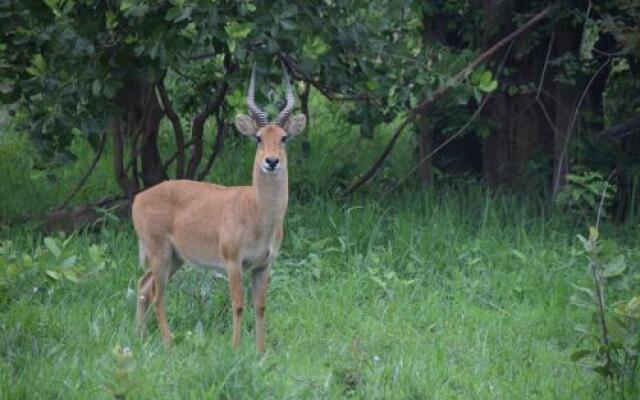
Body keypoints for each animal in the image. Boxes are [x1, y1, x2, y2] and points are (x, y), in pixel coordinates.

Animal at [131, 64, 306, 352]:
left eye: (284, 138)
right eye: (258, 137)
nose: (271, 161)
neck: (256, 211)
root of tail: (138, 198)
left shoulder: (263, 265)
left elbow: (260, 307)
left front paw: (261, 352)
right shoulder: (233, 263)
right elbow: (238, 305)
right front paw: (235, 349)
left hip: (175, 258)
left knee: (143, 285)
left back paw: (141, 339)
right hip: (160, 254)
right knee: (157, 294)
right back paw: (168, 342)